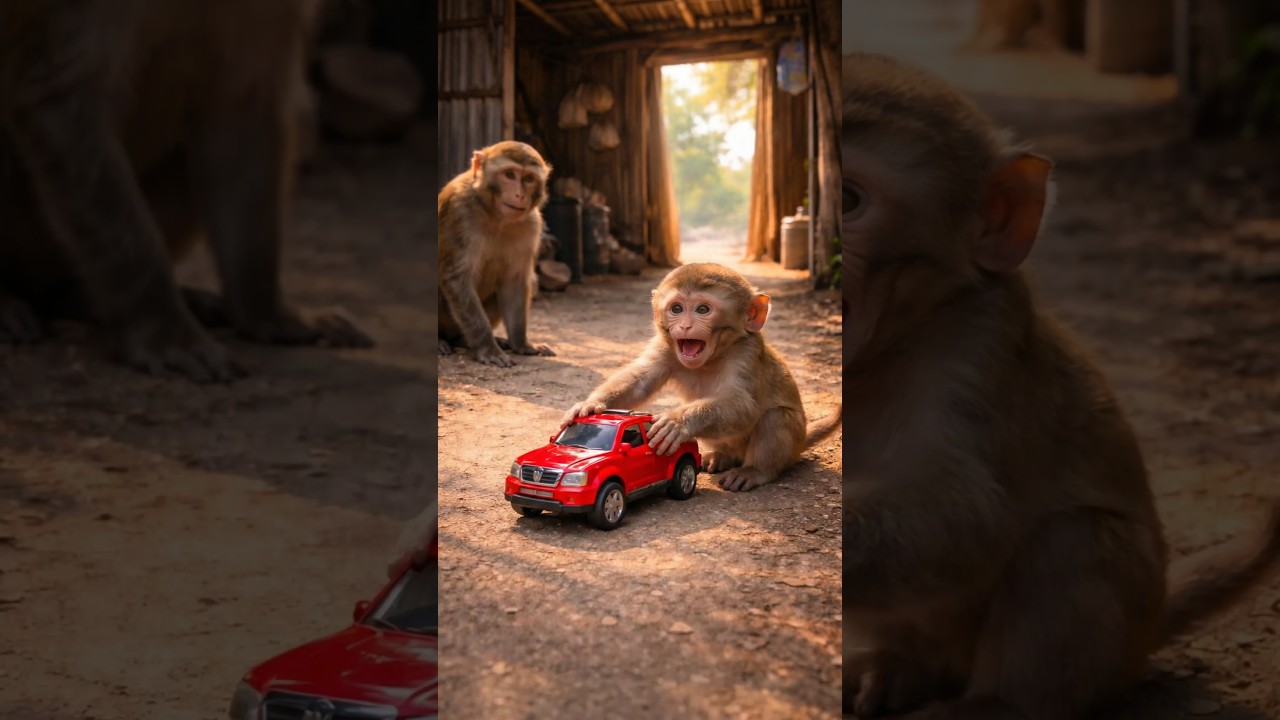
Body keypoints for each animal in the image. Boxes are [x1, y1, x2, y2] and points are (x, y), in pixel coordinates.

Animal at [0, 0, 373, 383]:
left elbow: (241, 106)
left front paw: (270, 313)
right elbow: (64, 105)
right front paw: (167, 335)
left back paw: (81, 296)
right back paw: (6, 306)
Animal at [437, 141, 556, 368]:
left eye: (528, 178)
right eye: (509, 175)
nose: (520, 195)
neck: (495, 215)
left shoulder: (531, 224)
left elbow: (514, 280)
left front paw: (521, 343)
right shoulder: (459, 212)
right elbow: (458, 279)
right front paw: (488, 349)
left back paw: (466, 339)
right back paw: (440, 341)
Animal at [560, 263, 841, 493]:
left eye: (703, 309)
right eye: (677, 308)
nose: (685, 326)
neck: (712, 357)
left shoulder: (746, 352)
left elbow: (744, 405)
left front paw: (677, 421)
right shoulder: (667, 346)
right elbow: (641, 380)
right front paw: (592, 405)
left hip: (789, 444)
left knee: (776, 417)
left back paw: (754, 471)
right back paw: (721, 456)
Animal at [840, 52, 1280, 719]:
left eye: (846, 198)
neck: (894, 335)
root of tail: (1150, 627)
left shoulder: (978, 338)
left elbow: (966, 512)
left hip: (1114, 631)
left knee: (1075, 539)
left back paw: (999, 706)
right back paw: (895, 668)